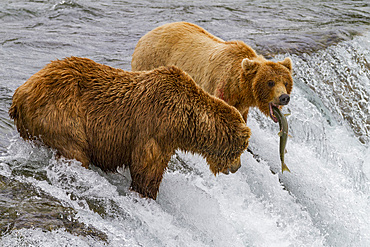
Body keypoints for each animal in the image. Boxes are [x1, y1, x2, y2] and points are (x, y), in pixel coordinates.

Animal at [9, 57, 251, 200]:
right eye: (241, 148)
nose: (237, 167)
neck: (183, 123)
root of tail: (21, 92)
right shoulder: (154, 127)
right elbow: (147, 168)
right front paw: (146, 193)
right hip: (61, 115)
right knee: (75, 150)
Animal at [132, 21, 294, 123]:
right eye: (270, 82)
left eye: (286, 83)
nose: (284, 97)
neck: (241, 89)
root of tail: (144, 36)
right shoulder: (222, 88)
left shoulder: (242, 104)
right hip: (150, 60)